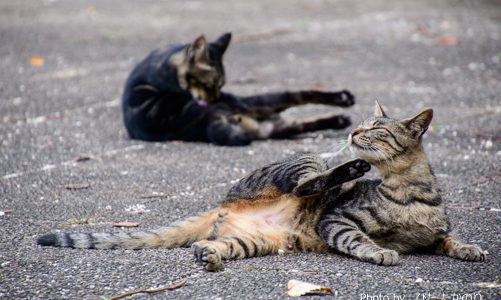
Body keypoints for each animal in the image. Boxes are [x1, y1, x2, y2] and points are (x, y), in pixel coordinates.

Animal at [37, 102, 482, 270]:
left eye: (376, 128)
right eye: (362, 124)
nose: (354, 132)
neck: (408, 190)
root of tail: (222, 204)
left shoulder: (435, 233)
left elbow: (449, 238)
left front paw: (469, 249)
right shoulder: (338, 220)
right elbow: (359, 240)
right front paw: (380, 252)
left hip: (257, 241)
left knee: (213, 243)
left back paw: (208, 254)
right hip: (303, 161)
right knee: (308, 183)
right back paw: (349, 168)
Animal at [121, 32, 356, 145]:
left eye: (220, 84)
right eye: (210, 85)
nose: (214, 98)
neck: (167, 60)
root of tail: (209, 121)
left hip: (272, 125)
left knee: (300, 122)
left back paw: (340, 121)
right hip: (258, 104)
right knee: (299, 95)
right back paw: (343, 101)